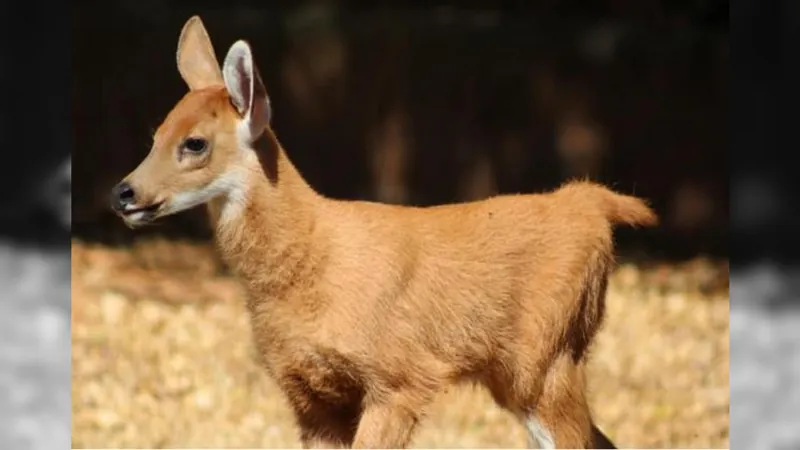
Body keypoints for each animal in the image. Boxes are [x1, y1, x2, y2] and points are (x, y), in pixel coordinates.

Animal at [108, 15, 656, 448]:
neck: (313, 260)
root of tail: (589, 201)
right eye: (156, 135)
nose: (123, 193)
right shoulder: (311, 397)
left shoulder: (399, 378)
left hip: (544, 360)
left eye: (195, 143)